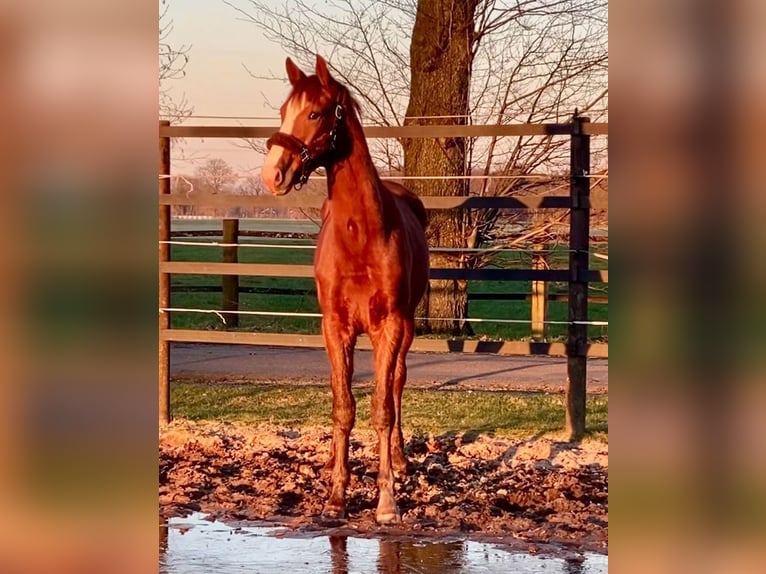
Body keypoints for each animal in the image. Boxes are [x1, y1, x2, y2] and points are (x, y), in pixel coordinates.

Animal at [260, 56, 428, 524]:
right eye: (284, 111)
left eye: (316, 113)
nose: (272, 174)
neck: (361, 235)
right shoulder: (335, 327)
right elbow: (343, 406)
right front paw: (336, 494)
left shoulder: (389, 326)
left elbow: (382, 408)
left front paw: (386, 502)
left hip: (406, 329)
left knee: (397, 384)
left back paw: (401, 461)